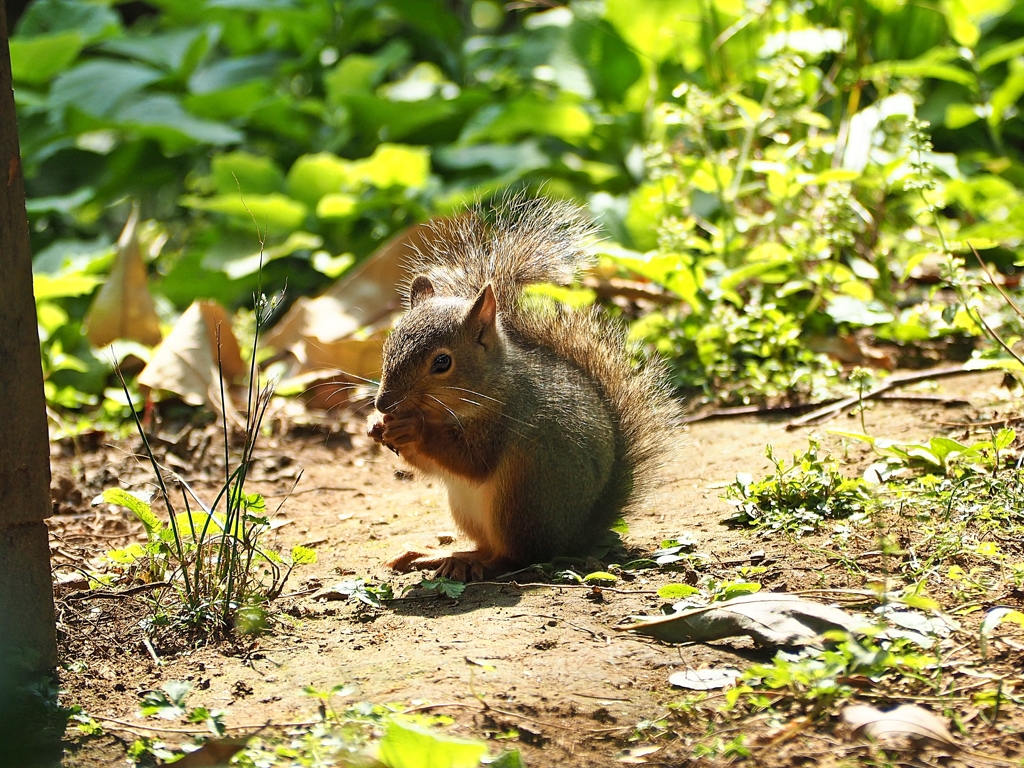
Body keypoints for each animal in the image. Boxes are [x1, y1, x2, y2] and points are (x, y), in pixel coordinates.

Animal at [368, 195, 679, 581]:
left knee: (517, 556)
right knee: (488, 546)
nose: (383, 404)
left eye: (442, 363)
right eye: (387, 346)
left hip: (522, 498)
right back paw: (437, 555)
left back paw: (471, 562)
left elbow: (472, 462)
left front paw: (413, 428)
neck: (493, 384)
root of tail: (575, 536)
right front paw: (376, 426)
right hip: (469, 508)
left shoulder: (509, 418)